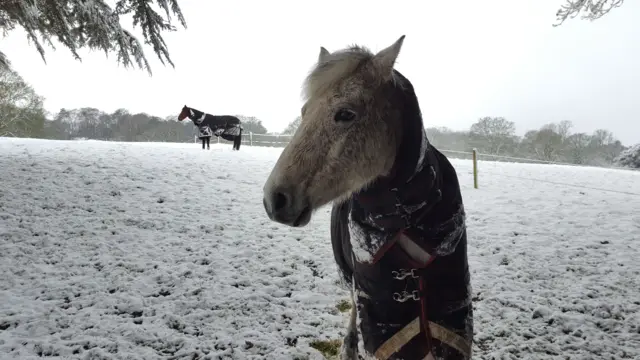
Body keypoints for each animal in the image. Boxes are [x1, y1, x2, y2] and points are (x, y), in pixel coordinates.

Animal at [262, 35, 476, 358]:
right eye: (304, 111)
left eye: (346, 114)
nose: (274, 199)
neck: (406, 219)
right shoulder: (379, 316)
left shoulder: (450, 319)